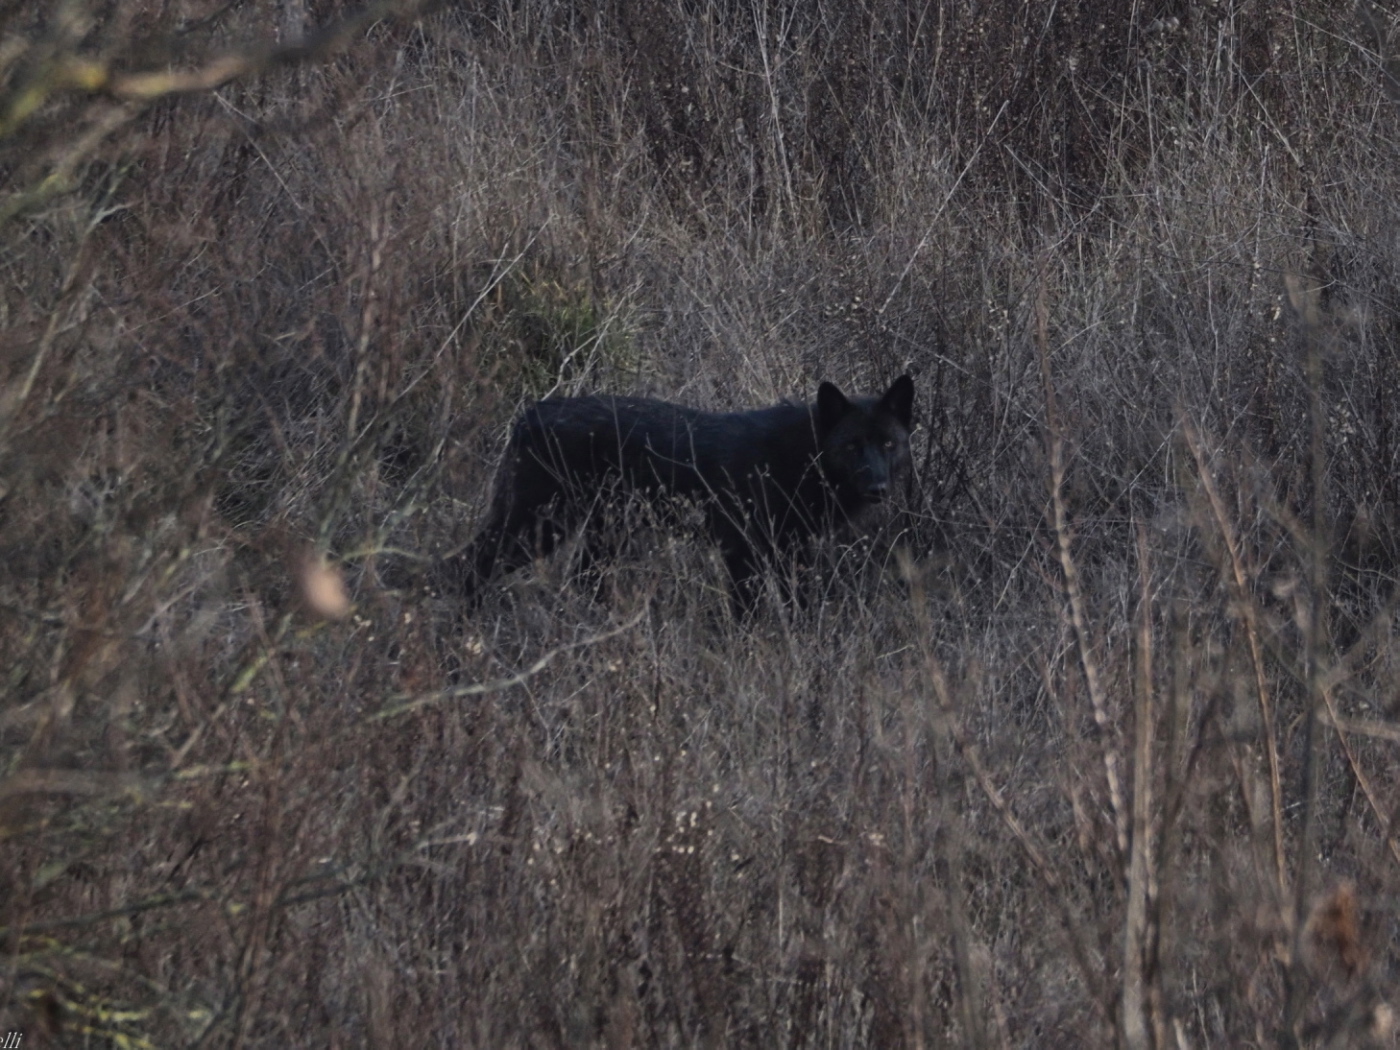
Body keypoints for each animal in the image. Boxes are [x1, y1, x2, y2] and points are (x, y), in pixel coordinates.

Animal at [448, 375, 914, 611]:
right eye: (852, 446)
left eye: (889, 444)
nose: (878, 487)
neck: (802, 455)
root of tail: (528, 414)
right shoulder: (742, 554)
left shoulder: (793, 554)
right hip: (536, 530)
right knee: (464, 565)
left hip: (601, 536)